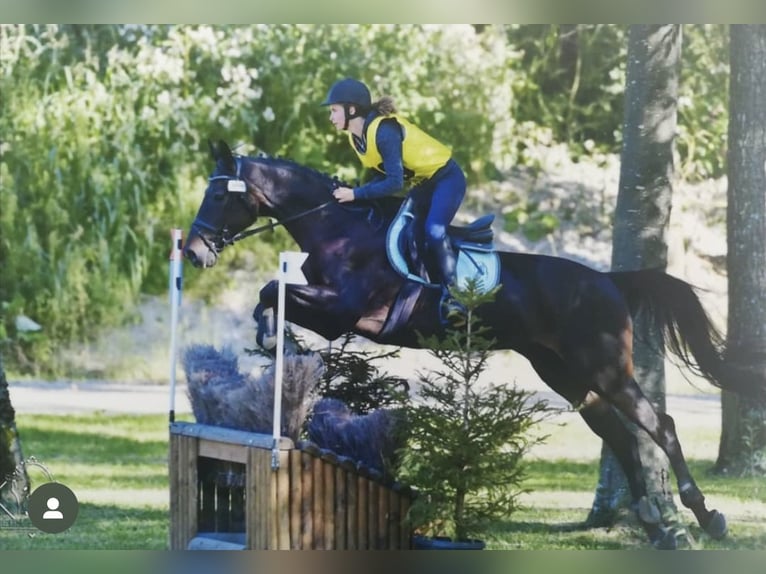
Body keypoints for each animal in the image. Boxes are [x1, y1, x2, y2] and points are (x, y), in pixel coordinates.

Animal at [184, 140, 756, 548]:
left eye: (219, 195)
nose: (192, 252)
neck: (339, 229)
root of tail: (608, 280)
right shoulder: (332, 312)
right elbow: (272, 292)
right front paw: (270, 336)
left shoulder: (342, 311)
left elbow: (273, 289)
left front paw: (269, 334)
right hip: (570, 378)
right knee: (620, 436)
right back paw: (659, 530)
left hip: (606, 368)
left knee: (661, 424)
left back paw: (706, 516)